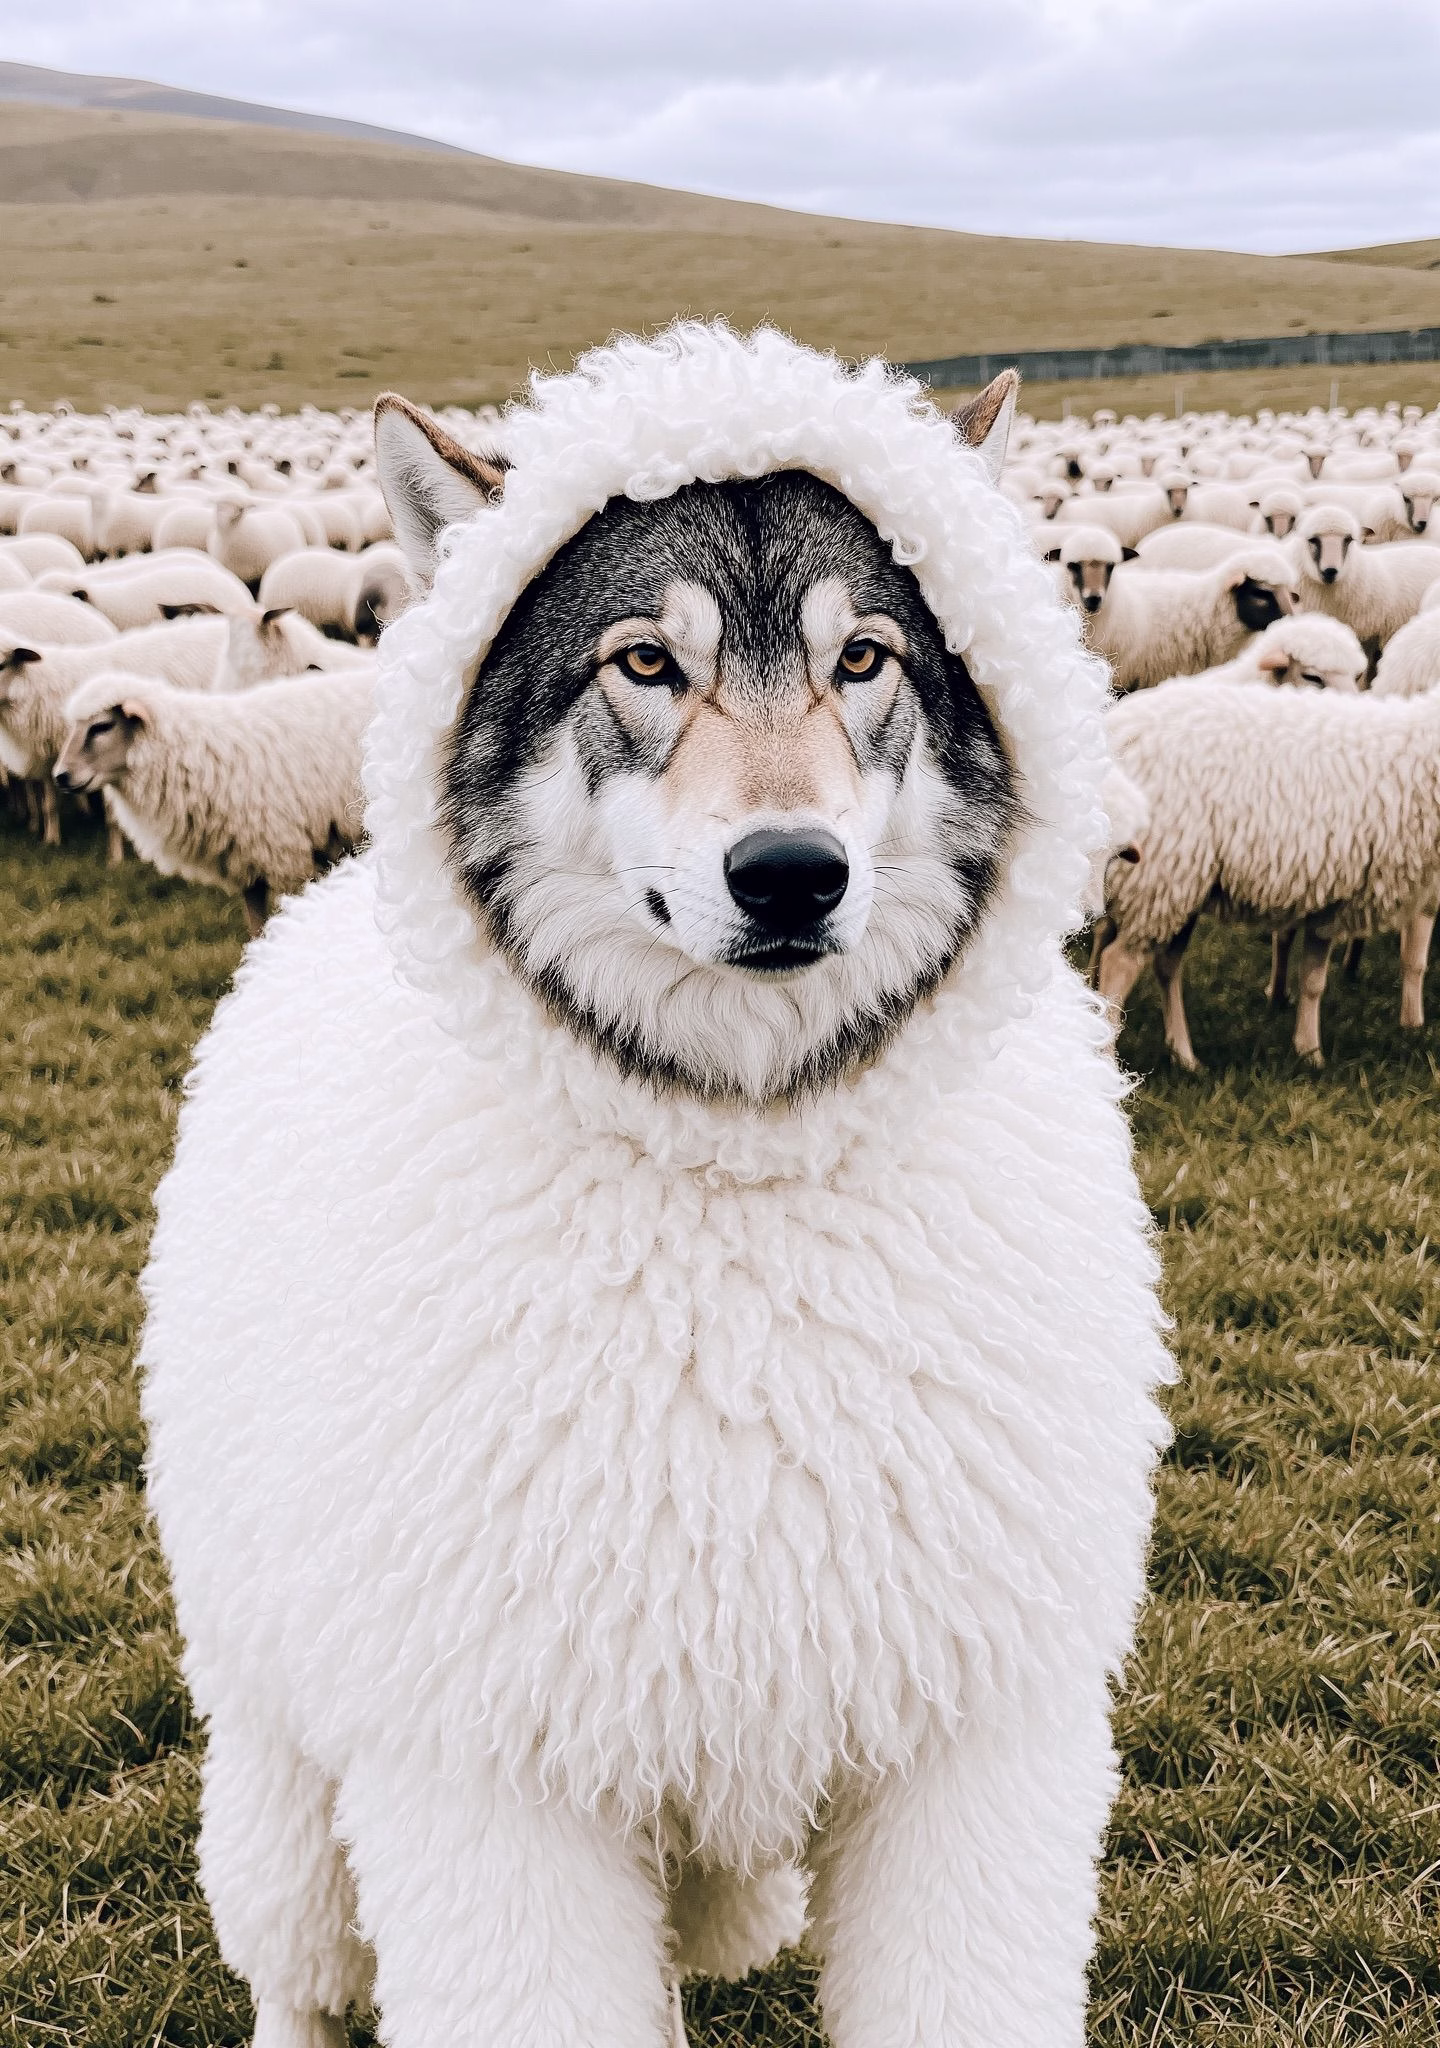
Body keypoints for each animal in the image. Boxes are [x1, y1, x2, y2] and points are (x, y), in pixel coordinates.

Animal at [56, 667, 374, 933]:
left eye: (101, 726)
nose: (60, 776)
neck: (185, 753)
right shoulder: (247, 867)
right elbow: (257, 931)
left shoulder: (287, 861)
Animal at [1097, 679, 1440, 1066]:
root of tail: (1119, 728)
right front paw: (1312, 1051)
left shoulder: (1330, 897)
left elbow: (1313, 982)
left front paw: (1309, 1052)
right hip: (1159, 876)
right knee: (1118, 963)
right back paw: (1109, 1056)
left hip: (1177, 884)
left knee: (1158, 963)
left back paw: (1184, 1057)